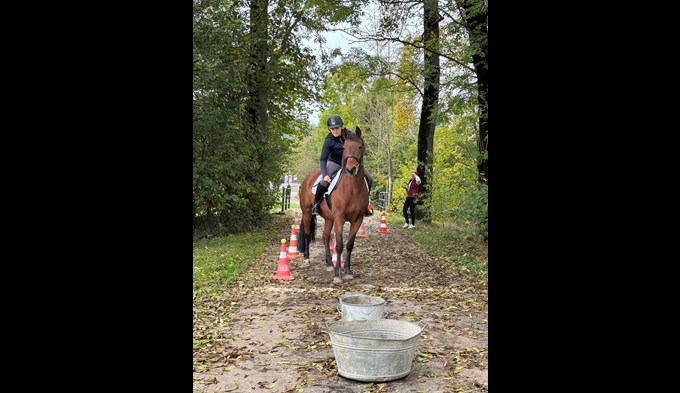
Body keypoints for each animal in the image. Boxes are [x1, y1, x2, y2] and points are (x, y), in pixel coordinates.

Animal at [300, 125, 370, 282]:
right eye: (344, 147)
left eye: (360, 146)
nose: (351, 169)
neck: (353, 189)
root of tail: (308, 177)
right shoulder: (339, 218)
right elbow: (339, 245)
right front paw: (338, 274)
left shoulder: (357, 219)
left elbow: (349, 245)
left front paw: (348, 271)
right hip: (307, 213)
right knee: (307, 233)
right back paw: (306, 259)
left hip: (328, 218)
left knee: (325, 237)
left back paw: (328, 263)